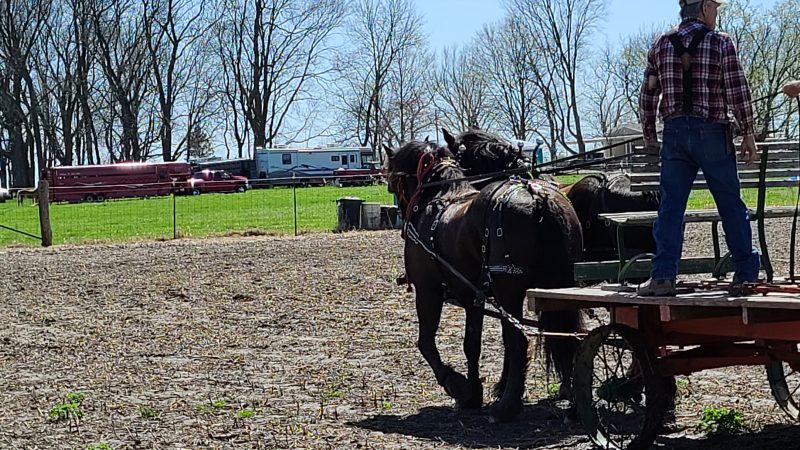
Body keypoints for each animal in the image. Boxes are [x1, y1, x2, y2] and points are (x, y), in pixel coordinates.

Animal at [386, 140, 580, 422]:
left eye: (393, 181)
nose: (401, 217)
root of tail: (537, 196)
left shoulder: (427, 290)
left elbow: (426, 343)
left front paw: (457, 385)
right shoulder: (473, 297)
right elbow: (471, 345)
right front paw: (473, 394)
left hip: (508, 291)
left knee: (519, 341)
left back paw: (507, 407)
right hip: (560, 286)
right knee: (570, 337)